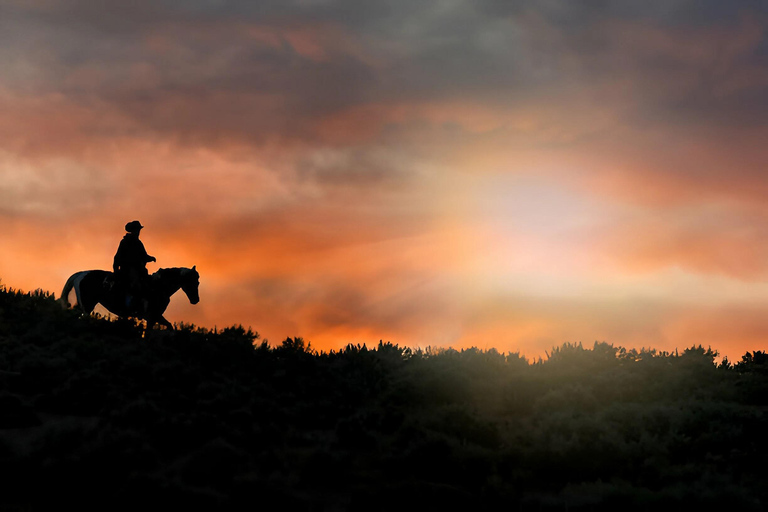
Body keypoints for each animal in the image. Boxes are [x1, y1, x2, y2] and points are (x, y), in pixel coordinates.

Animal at [59, 264, 200, 332]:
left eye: (197, 281)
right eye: (192, 281)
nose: (195, 300)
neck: (158, 286)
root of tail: (81, 274)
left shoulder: (157, 317)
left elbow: (170, 326)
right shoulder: (152, 317)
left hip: (83, 305)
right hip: (87, 305)